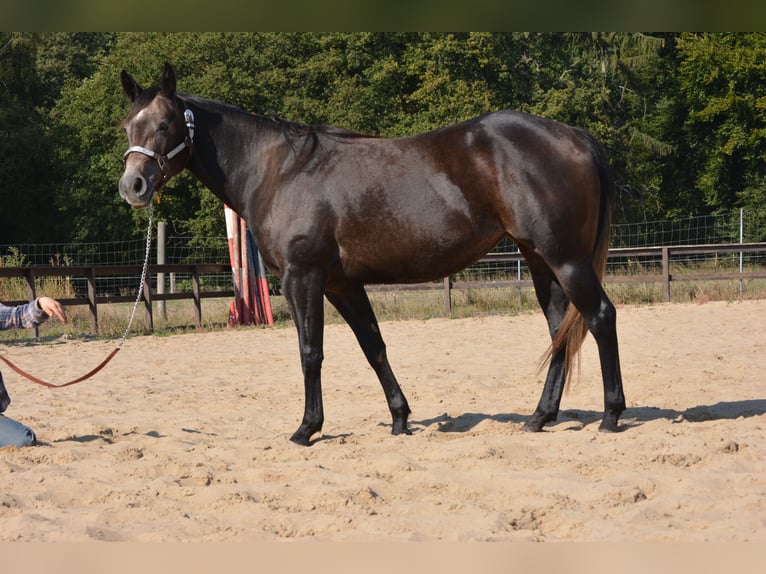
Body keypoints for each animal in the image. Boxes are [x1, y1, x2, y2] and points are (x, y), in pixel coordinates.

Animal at [118, 63, 625, 446]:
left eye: (164, 124)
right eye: (128, 126)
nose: (133, 186)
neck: (280, 171)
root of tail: (574, 135)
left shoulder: (303, 278)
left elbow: (310, 351)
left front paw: (307, 428)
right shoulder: (343, 284)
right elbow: (373, 346)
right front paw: (400, 418)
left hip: (566, 259)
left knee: (599, 317)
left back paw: (611, 415)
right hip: (540, 261)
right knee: (561, 329)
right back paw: (541, 416)